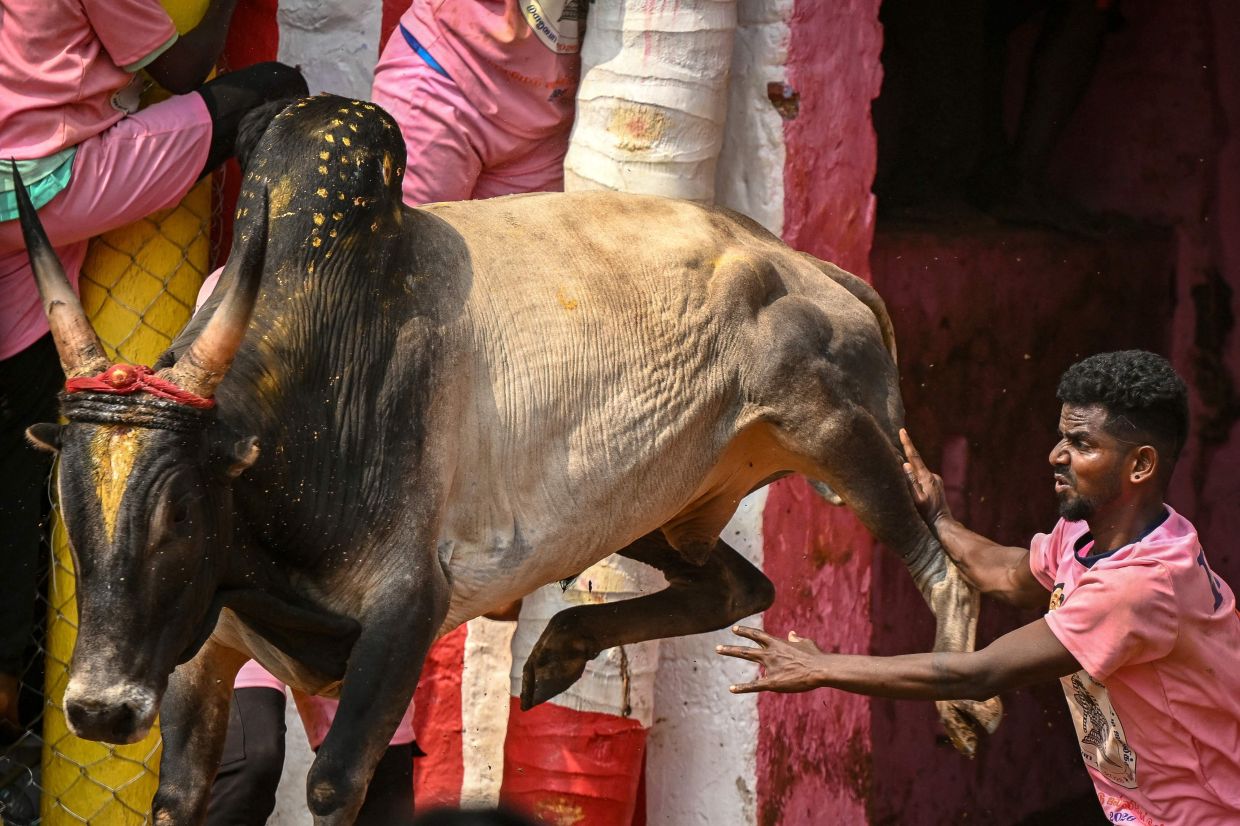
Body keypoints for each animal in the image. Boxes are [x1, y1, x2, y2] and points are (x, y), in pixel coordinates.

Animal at [17, 94, 1000, 825]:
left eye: (181, 511)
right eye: (67, 503)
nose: (99, 708)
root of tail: (811, 266)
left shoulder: (407, 612)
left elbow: (333, 784)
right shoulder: (203, 649)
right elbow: (181, 794)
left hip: (838, 433)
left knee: (943, 573)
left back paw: (965, 699)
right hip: (656, 512)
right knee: (738, 586)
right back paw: (563, 648)